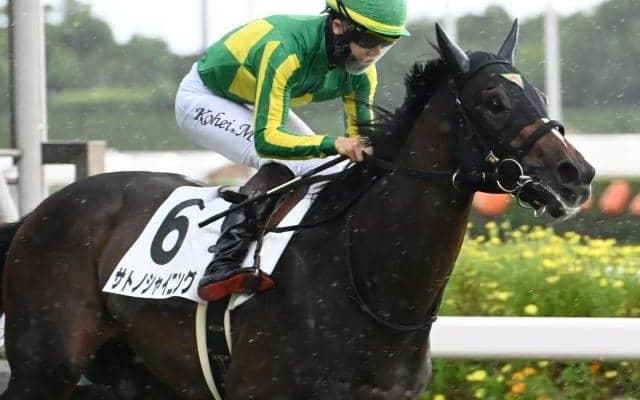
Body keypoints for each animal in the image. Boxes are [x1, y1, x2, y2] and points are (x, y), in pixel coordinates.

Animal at [0, 21, 594, 399]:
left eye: (540, 95)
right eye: (494, 101)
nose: (578, 175)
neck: (364, 281)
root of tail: (38, 214)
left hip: (133, 375)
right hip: (42, 367)